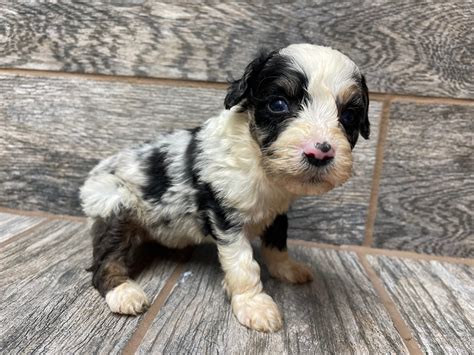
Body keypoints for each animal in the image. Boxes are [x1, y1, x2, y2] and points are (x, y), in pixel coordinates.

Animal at [80, 44, 370, 334]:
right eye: (278, 104)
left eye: (348, 116)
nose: (319, 153)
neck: (259, 163)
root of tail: (93, 175)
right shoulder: (224, 214)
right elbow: (242, 263)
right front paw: (254, 304)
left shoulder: (277, 212)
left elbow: (277, 244)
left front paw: (287, 269)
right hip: (115, 207)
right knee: (105, 262)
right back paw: (125, 293)